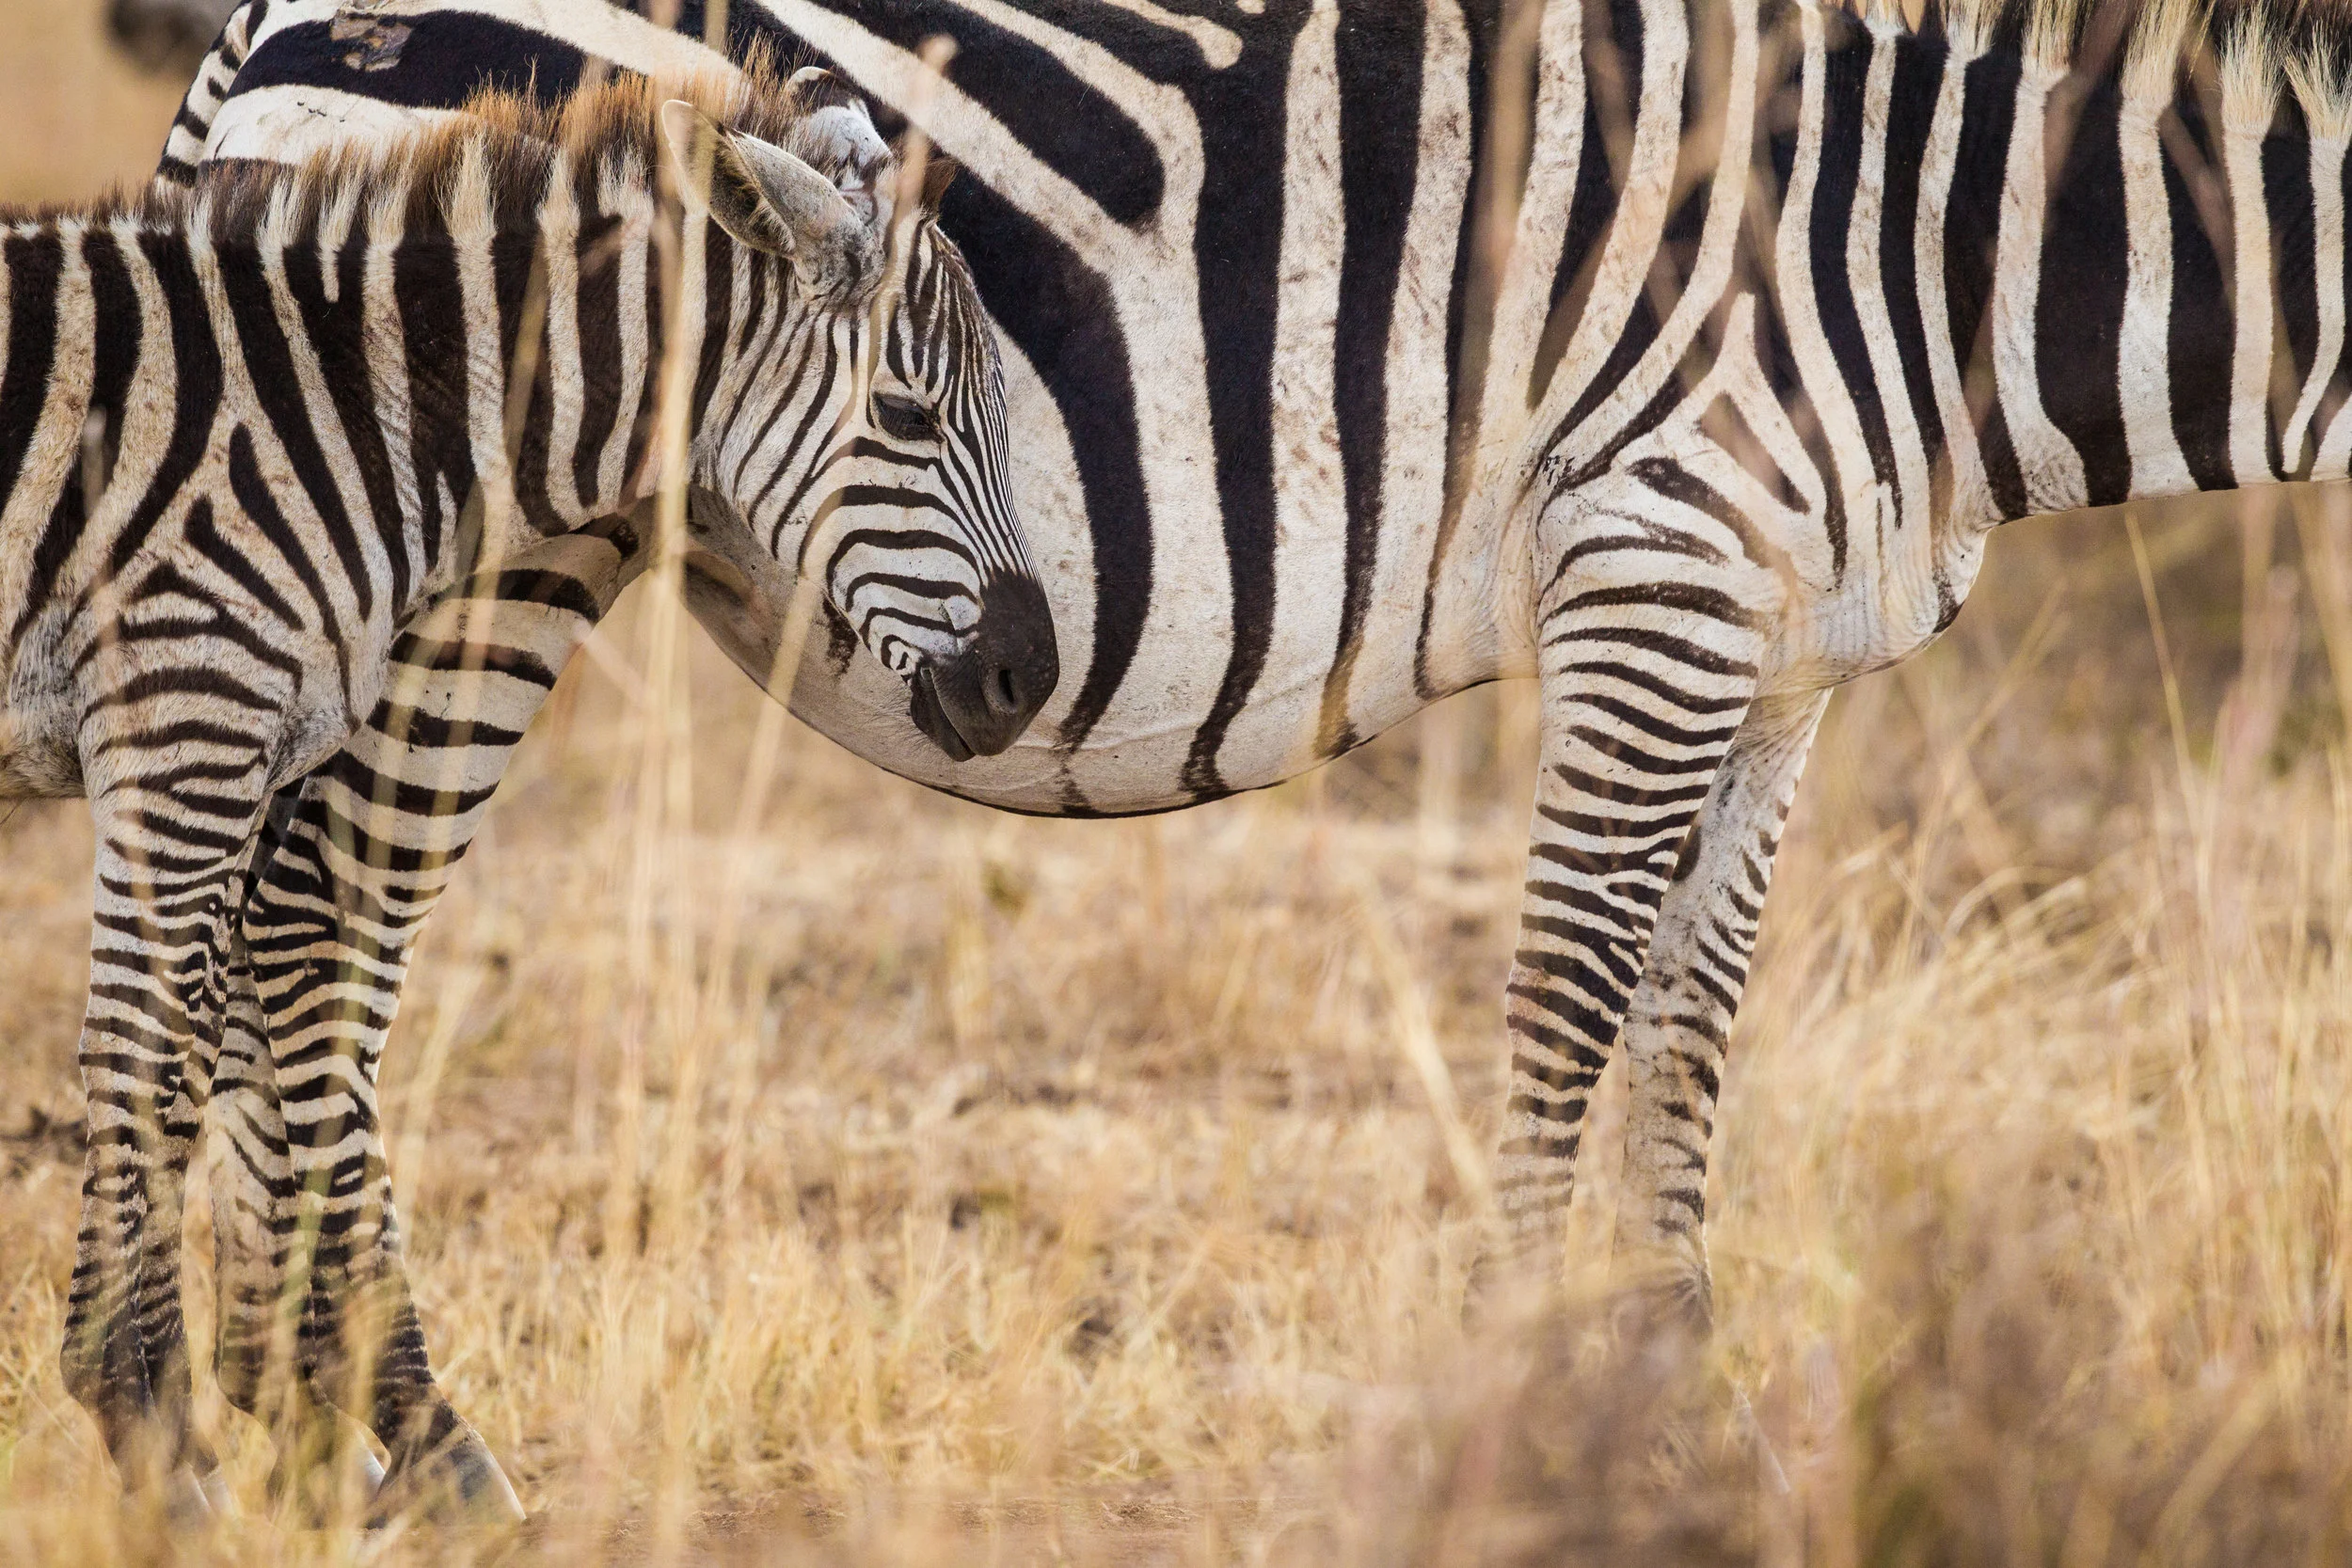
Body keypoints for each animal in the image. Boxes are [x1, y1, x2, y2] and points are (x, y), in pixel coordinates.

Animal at [2, 62, 1056, 1518]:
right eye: (907, 416)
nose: (1030, 675)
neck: (347, 418)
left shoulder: (241, 741)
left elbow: (231, 1023)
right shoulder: (184, 710)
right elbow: (149, 1060)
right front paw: (152, 1439)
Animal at [144, 0, 2352, 1515]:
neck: (1936, 257)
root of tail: (267, 25)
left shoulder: (1785, 654)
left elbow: (1683, 1033)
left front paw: (1680, 1417)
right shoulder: (1652, 567)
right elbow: (1566, 1006)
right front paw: (1534, 1417)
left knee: (264, 928)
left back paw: (283, 1419)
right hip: (482, 519)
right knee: (317, 938)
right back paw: (411, 1437)